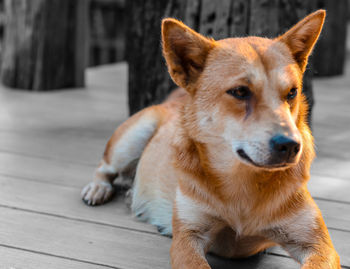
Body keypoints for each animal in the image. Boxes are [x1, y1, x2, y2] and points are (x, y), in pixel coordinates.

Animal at [81, 8, 340, 268]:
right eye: (240, 91)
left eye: (292, 93)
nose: (290, 145)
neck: (242, 184)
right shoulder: (187, 239)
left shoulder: (319, 245)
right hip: (130, 140)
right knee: (104, 166)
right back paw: (98, 188)